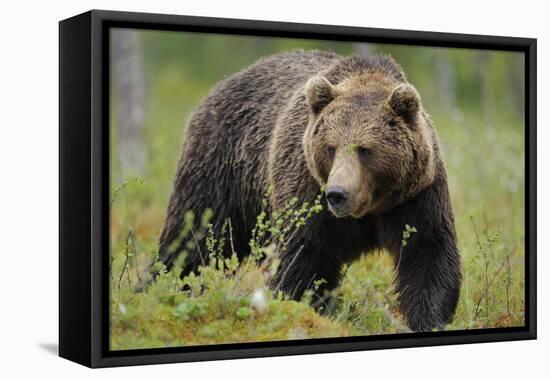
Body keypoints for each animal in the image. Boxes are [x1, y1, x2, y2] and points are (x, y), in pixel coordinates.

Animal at [157, 49, 464, 330]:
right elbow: (303, 256)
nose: (337, 194)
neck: (370, 207)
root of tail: (221, 85)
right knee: (192, 238)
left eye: (365, 150)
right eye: (331, 148)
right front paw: (302, 307)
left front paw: (427, 319)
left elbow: (426, 253)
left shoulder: (416, 196)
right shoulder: (306, 189)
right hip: (221, 168)